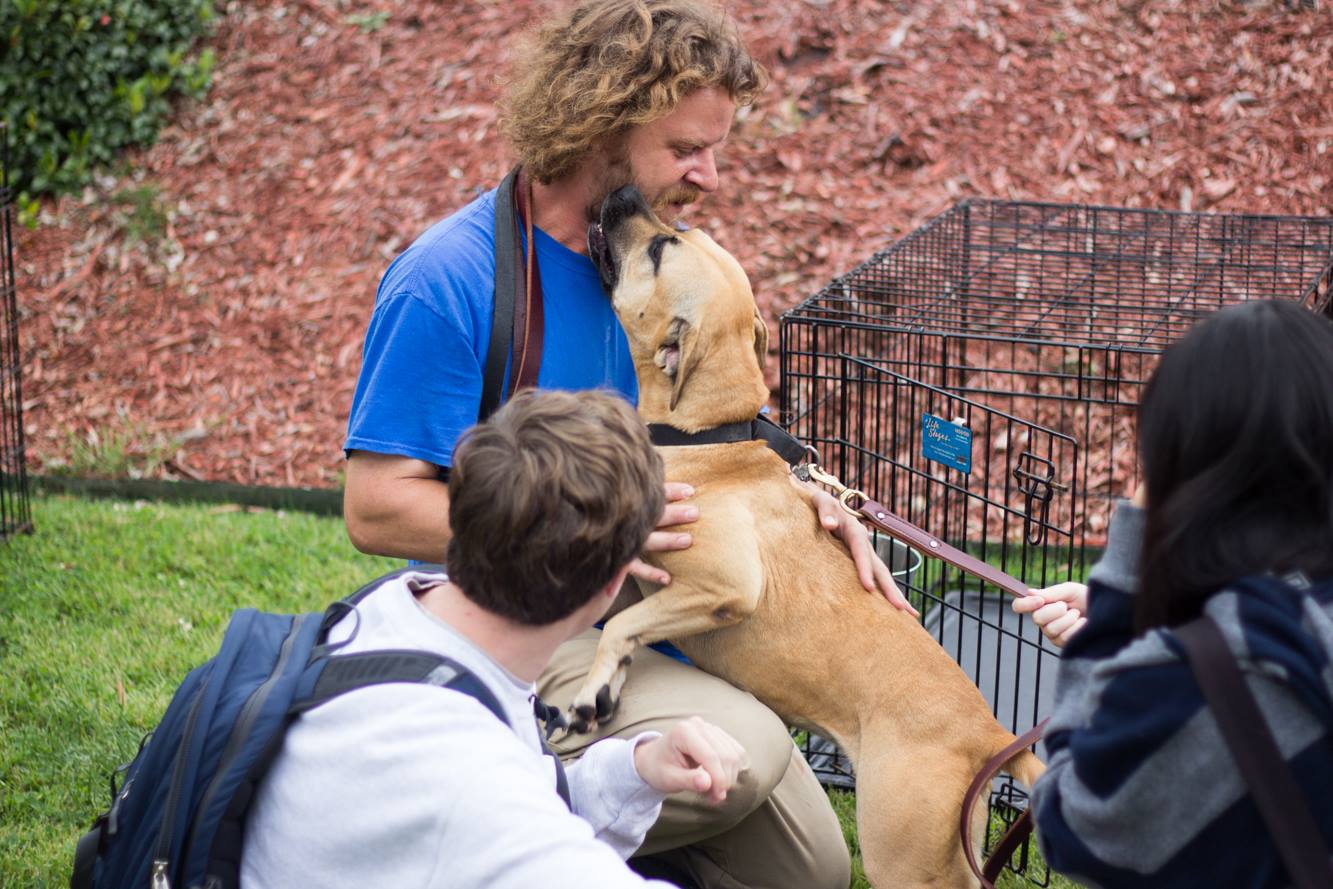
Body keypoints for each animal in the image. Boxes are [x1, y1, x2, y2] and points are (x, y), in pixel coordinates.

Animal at [573, 183, 1039, 885]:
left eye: (660, 249)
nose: (623, 191)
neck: (709, 433)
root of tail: (988, 736)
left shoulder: (725, 585)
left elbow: (621, 625)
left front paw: (594, 689)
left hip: (905, 860)